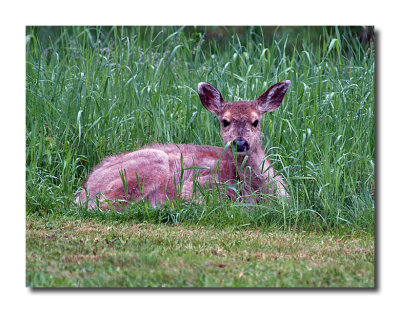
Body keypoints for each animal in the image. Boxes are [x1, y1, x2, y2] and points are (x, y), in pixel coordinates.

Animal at [76, 80, 290, 210]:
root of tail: (84, 189)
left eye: (256, 121)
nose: (239, 142)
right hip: (155, 161)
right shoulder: (198, 185)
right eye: (225, 121)